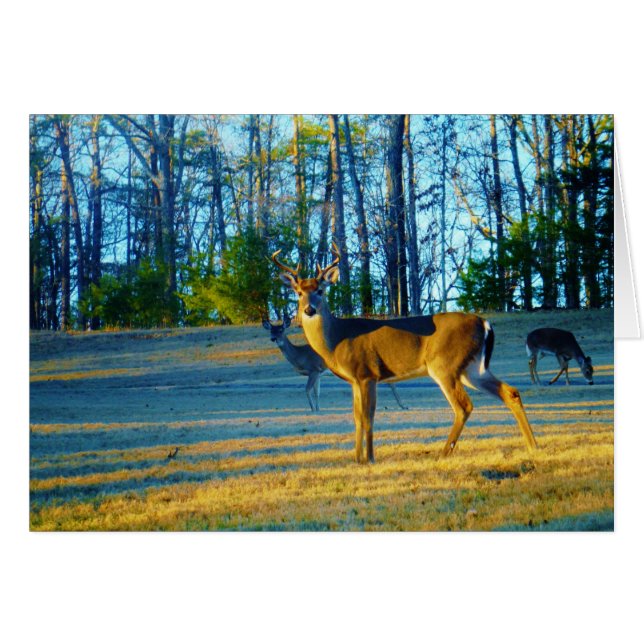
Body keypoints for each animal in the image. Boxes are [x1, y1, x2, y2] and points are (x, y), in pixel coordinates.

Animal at [262, 316, 407, 412]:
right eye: (271, 330)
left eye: (281, 329)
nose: (273, 338)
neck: (299, 356)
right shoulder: (319, 373)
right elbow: (317, 392)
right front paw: (318, 409)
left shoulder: (313, 369)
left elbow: (307, 389)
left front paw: (313, 409)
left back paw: (403, 405)